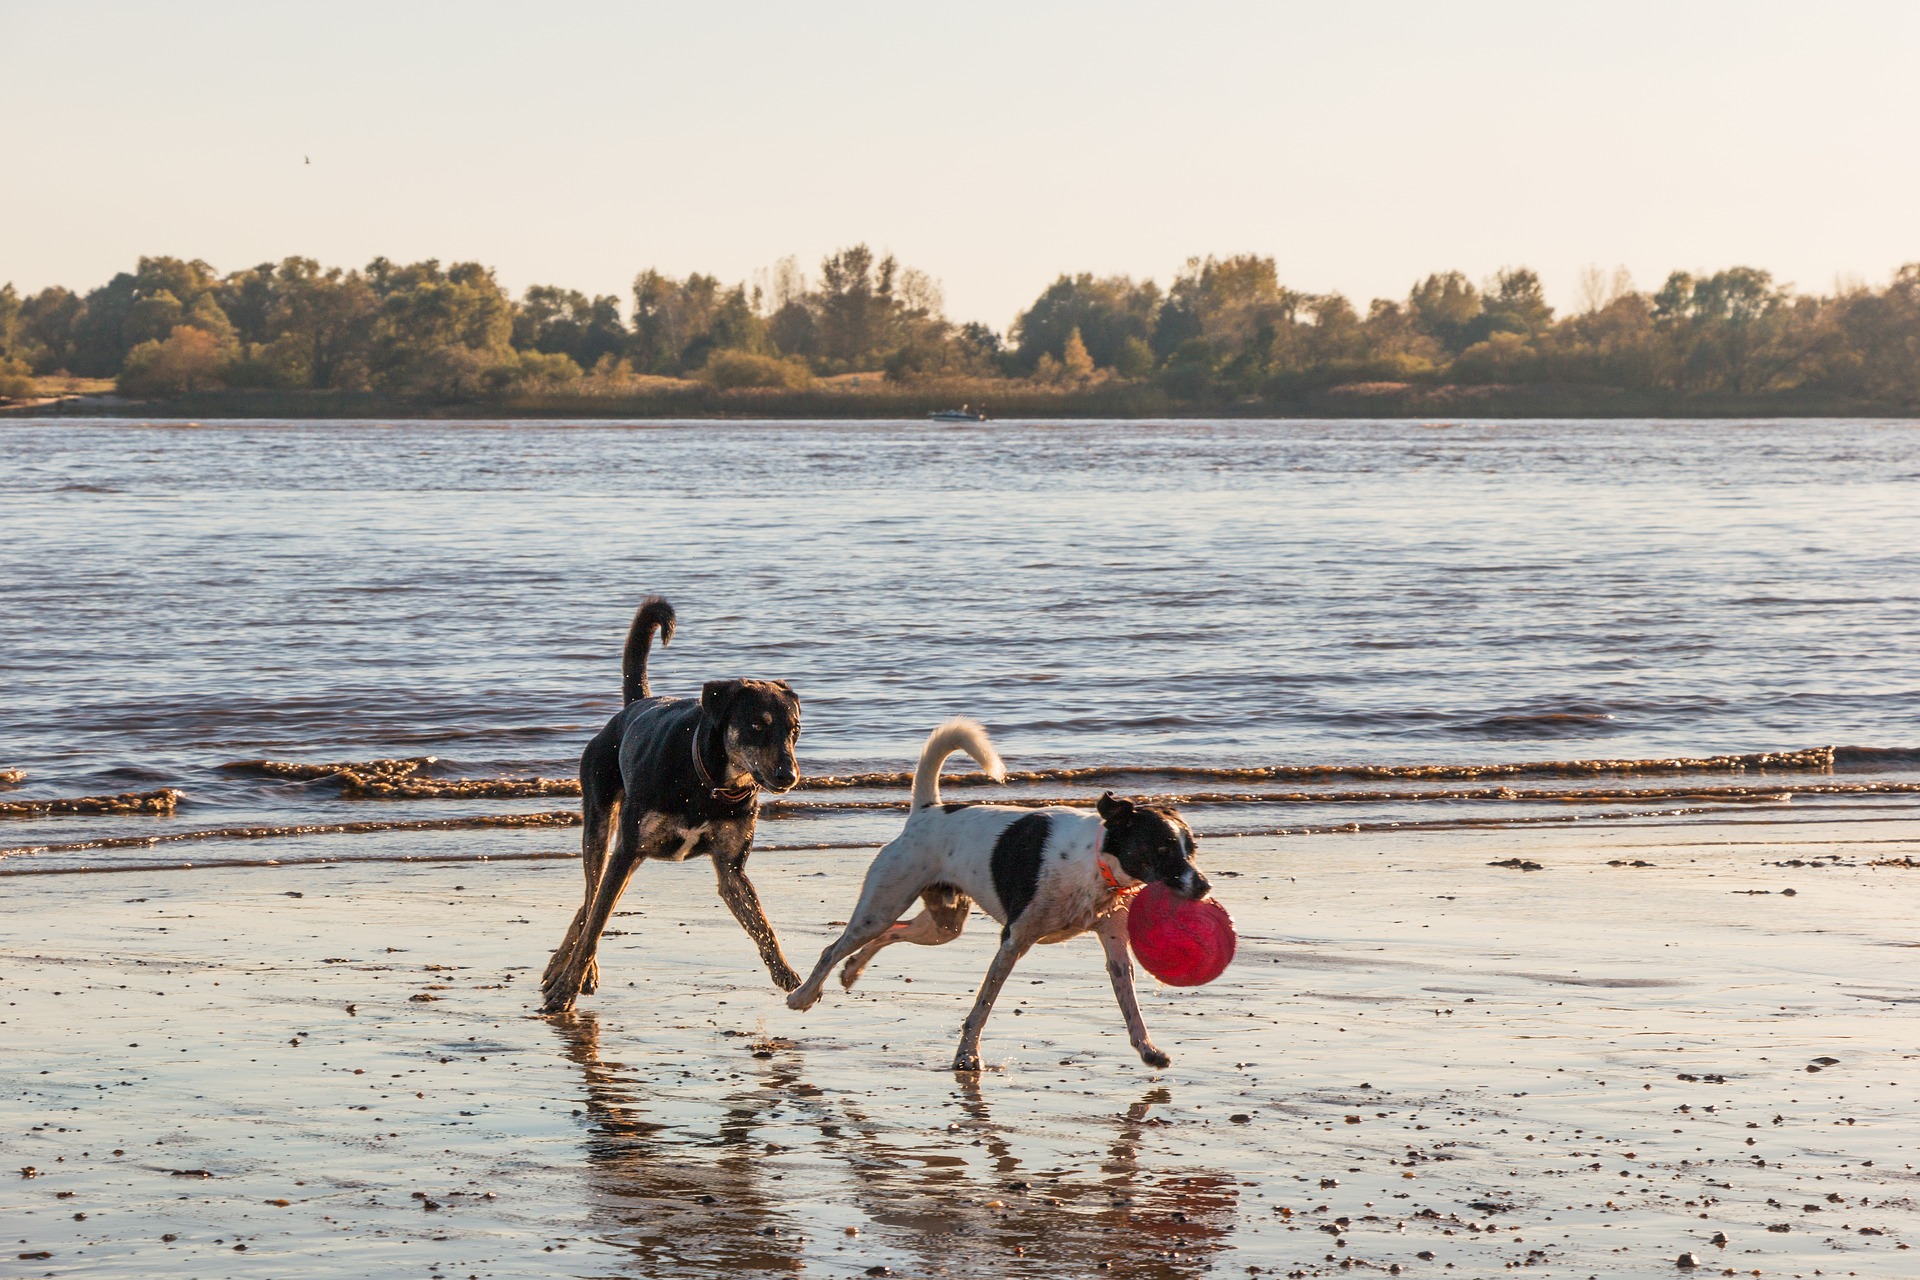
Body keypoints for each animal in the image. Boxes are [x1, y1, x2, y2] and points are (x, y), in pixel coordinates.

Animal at [541, 594, 802, 1013]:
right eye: (757, 726)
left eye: (794, 730)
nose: (788, 776)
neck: (710, 783)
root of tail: (635, 706)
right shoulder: (628, 849)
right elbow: (596, 923)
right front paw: (567, 987)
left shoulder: (731, 869)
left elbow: (762, 923)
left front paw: (785, 971)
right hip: (602, 823)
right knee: (592, 892)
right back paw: (572, 971)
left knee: (590, 901)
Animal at [787, 721, 1205, 1074]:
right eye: (1162, 849)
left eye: (1192, 849)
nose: (1203, 887)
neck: (1096, 860)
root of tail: (927, 812)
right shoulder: (1013, 942)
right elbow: (982, 1006)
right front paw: (967, 1056)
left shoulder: (1116, 947)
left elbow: (1130, 1005)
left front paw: (1148, 1049)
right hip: (882, 905)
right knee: (835, 947)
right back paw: (803, 995)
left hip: (943, 924)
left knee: (892, 932)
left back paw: (852, 969)